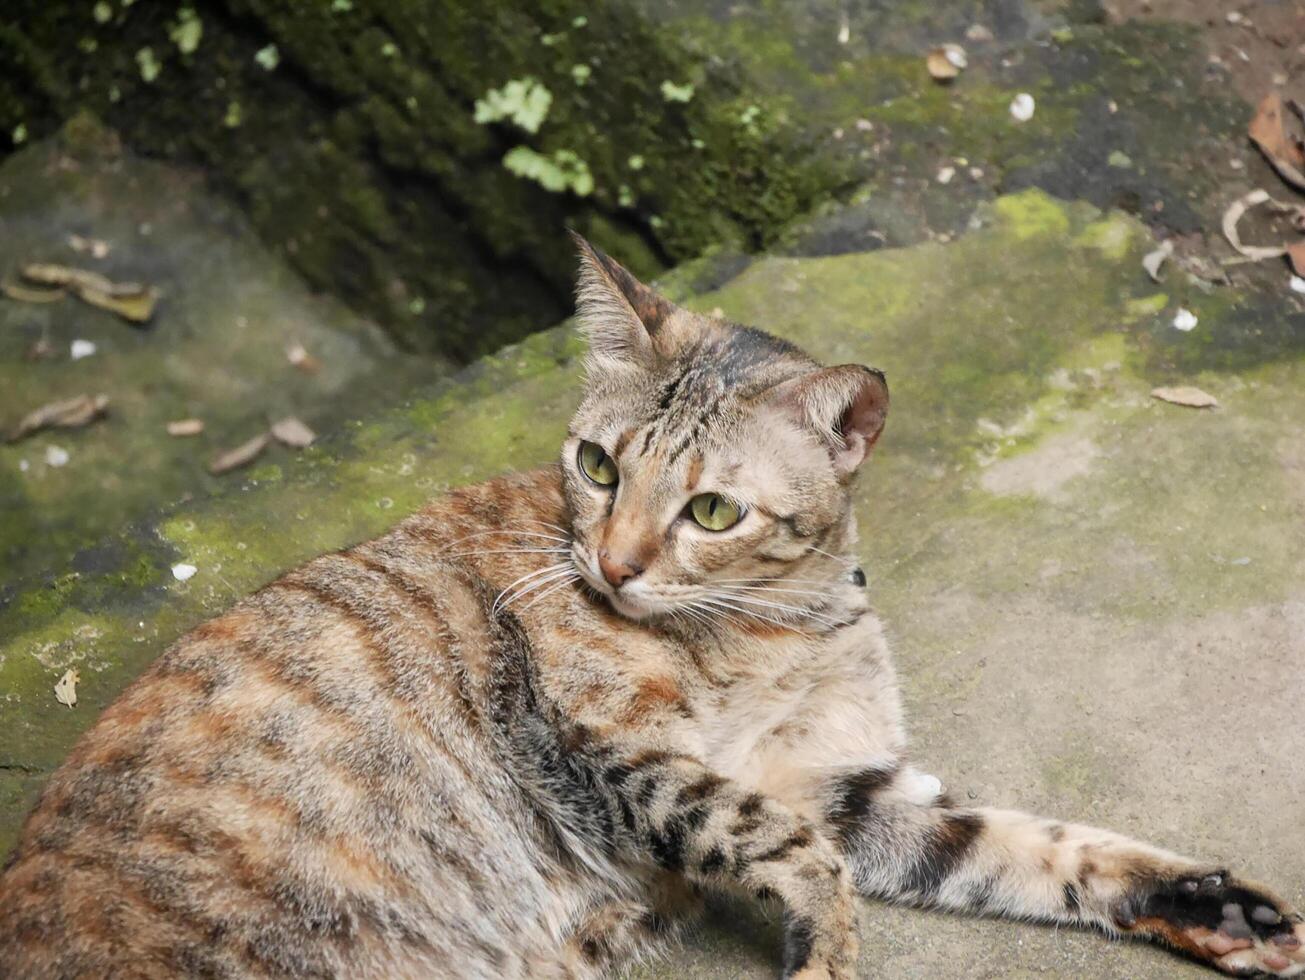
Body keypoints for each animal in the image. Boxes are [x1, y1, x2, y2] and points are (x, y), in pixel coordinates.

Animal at [2, 240, 1305, 980]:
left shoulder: (847, 782)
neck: (773, 625)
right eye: (598, 464)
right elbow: (785, 846)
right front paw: (825, 951)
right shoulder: (604, 748)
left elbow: (1039, 845)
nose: (616, 563)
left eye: (714, 508)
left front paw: (1209, 904)